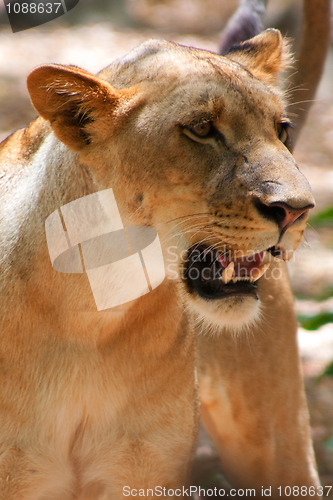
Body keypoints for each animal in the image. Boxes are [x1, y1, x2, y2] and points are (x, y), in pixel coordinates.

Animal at [0, 16, 326, 500]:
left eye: (281, 129)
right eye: (202, 128)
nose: (299, 209)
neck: (91, 311)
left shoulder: (146, 471)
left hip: (277, 439)